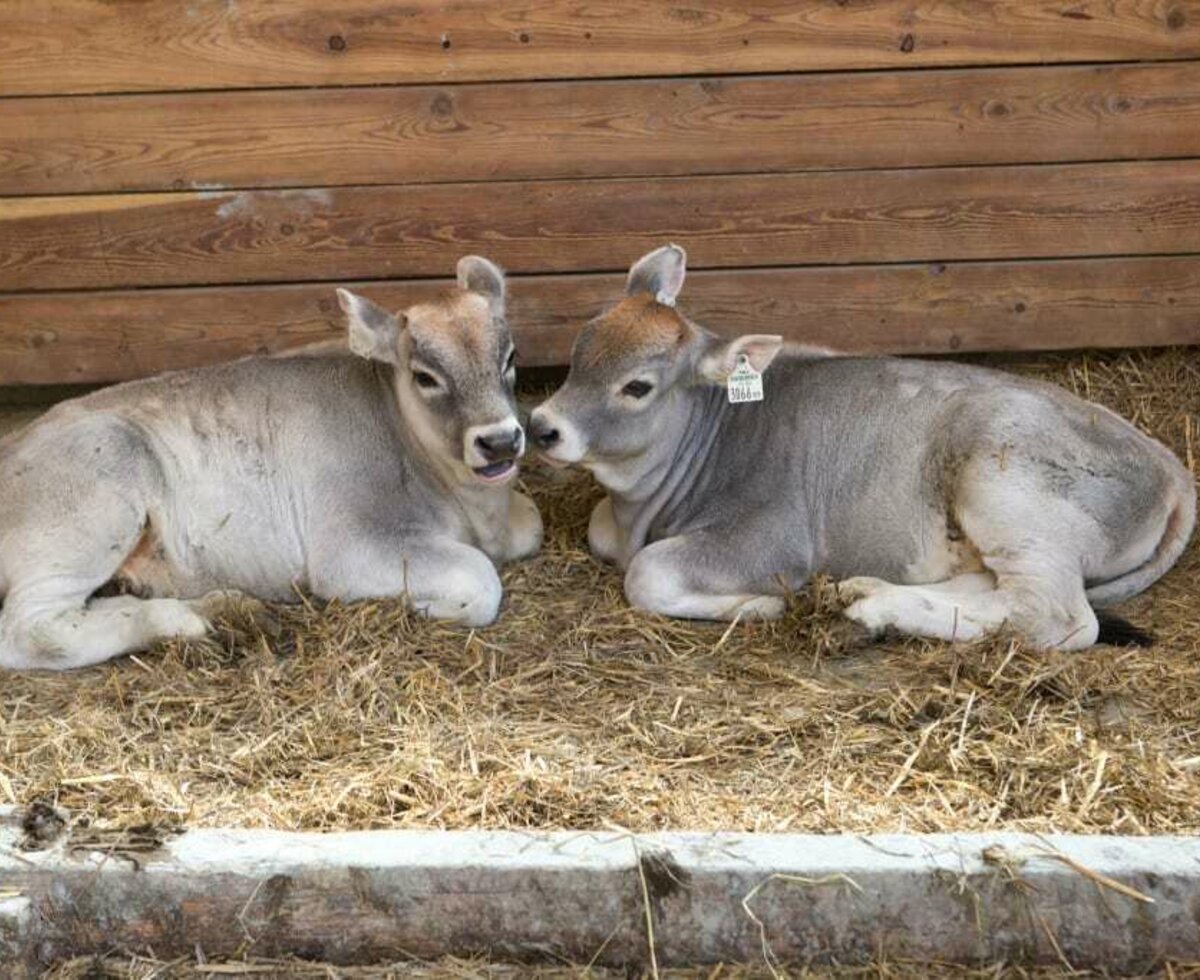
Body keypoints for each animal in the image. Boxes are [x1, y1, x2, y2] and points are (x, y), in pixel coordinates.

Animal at [0, 256, 540, 666]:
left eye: (510, 357)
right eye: (425, 376)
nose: (499, 441)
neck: (472, 510)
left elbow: (531, 524)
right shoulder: (353, 545)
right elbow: (478, 580)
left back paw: (224, 609)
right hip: (90, 504)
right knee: (30, 631)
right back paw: (186, 621)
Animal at [530, 242, 1195, 647]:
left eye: (637, 386)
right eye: (580, 349)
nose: (541, 426)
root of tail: (1170, 466)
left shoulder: (774, 539)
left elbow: (648, 573)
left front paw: (761, 606)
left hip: (1010, 489)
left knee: (1055, 614)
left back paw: (872, 609)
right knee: (992, 588)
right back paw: (867, 592)